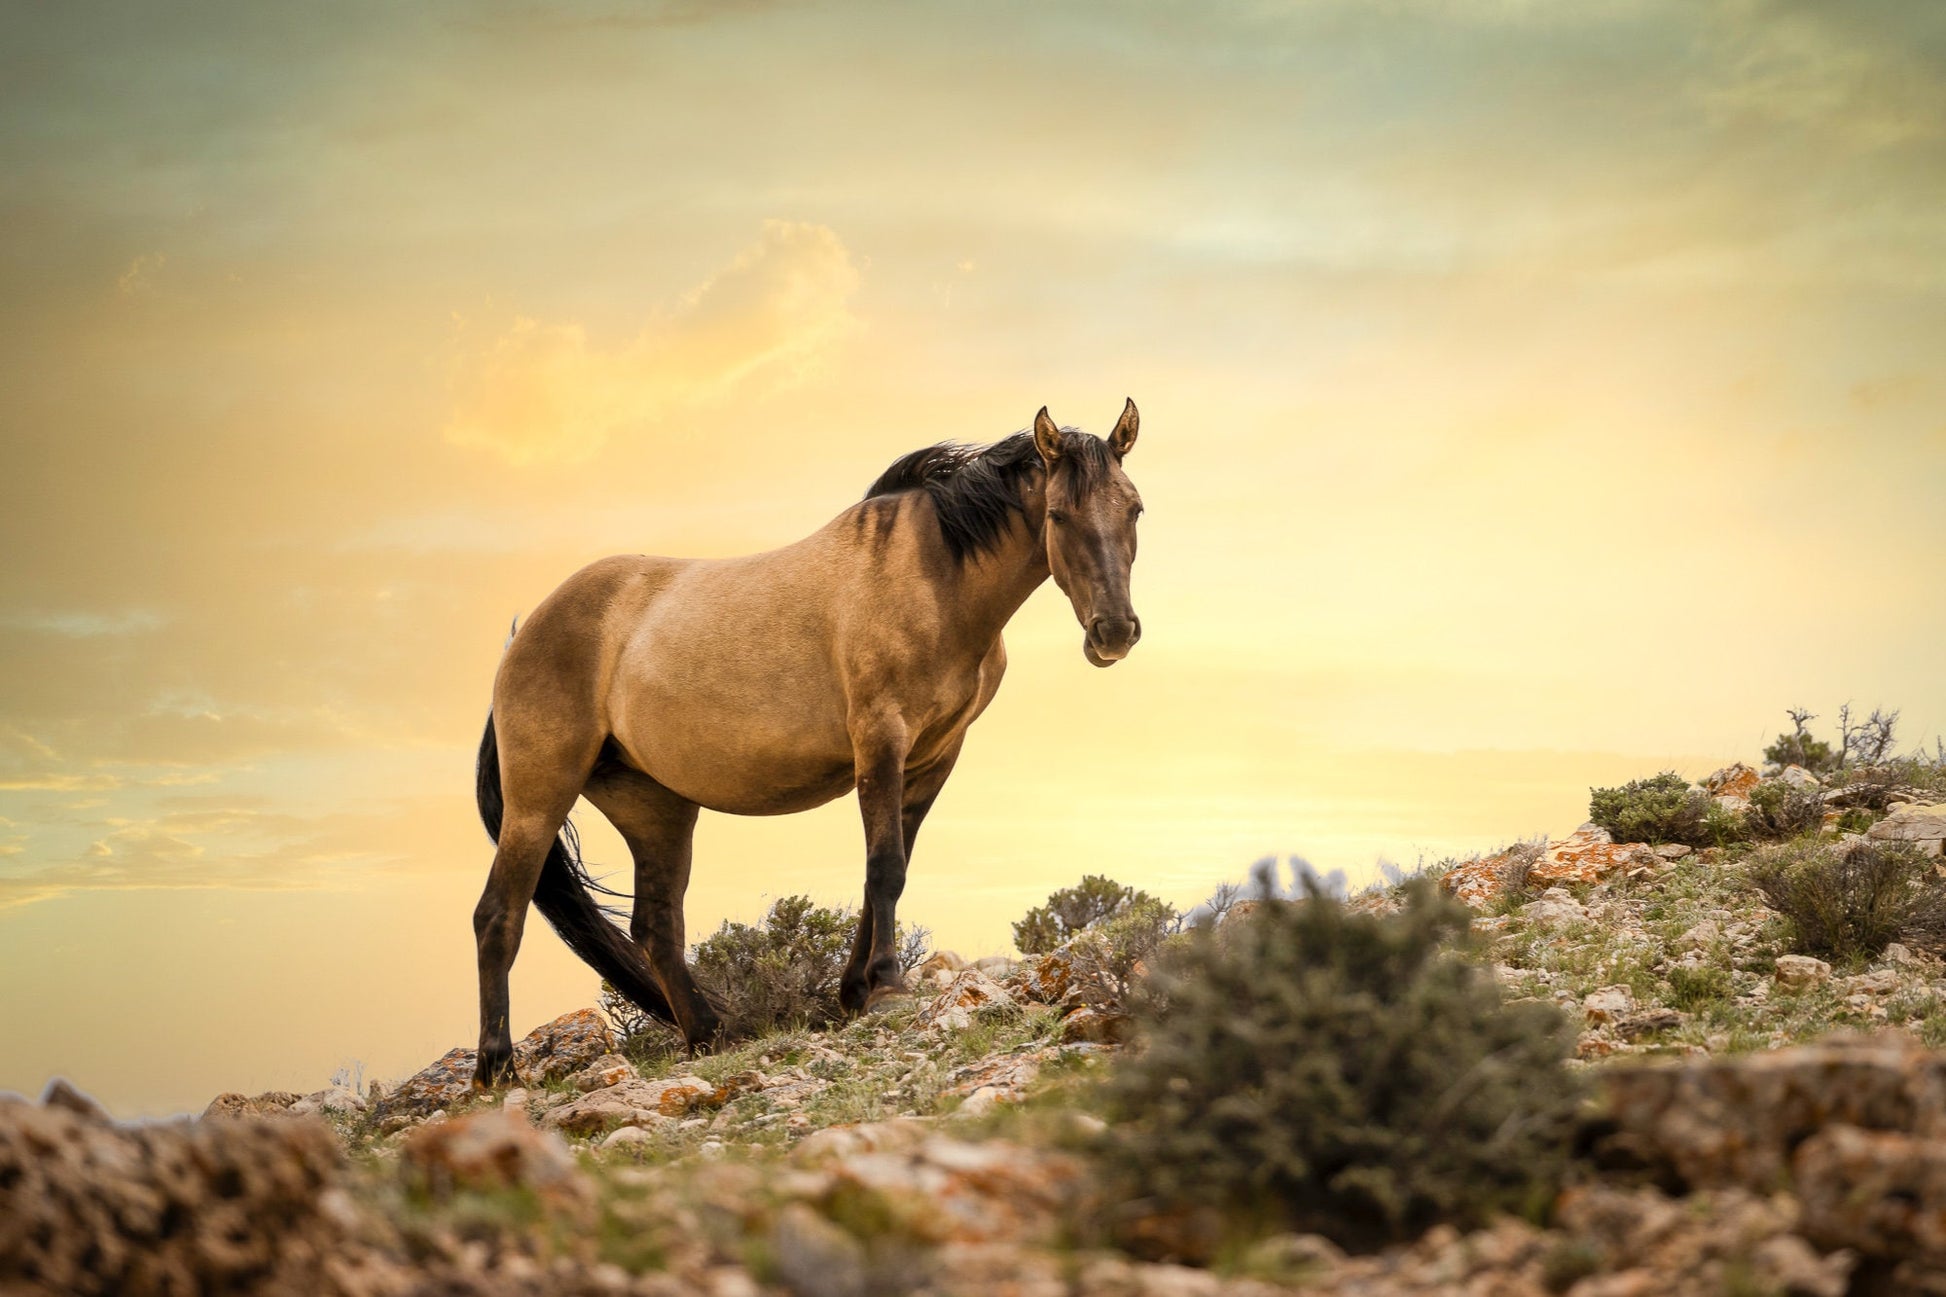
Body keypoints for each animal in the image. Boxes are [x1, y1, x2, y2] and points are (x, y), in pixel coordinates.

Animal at [468, 399, 1136, 1074]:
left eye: (1133, 508)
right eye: (1057, 514)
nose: (1114, 632)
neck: (934, 576)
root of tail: (524, 636)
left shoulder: (933, 757)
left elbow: (887, 867)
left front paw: (856, 990)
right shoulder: (881, 740)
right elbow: (885, 866)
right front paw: (887, 988)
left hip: (655, 808)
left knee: (656, 927)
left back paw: (710, 1035)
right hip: (539, 798)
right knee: (499, 916)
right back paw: (498, 1069)